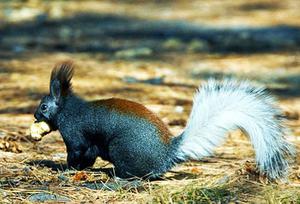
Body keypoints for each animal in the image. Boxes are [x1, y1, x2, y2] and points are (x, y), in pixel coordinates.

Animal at [34, 61, 294, 179]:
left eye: (44, 106)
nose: (35, 116)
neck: (68, 109)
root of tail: (168, 153)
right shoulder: (90, 142)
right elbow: (89, 154)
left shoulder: (75, 132)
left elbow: (78, 151)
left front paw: (67, 168)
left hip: (122, 148)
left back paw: (120, 175)